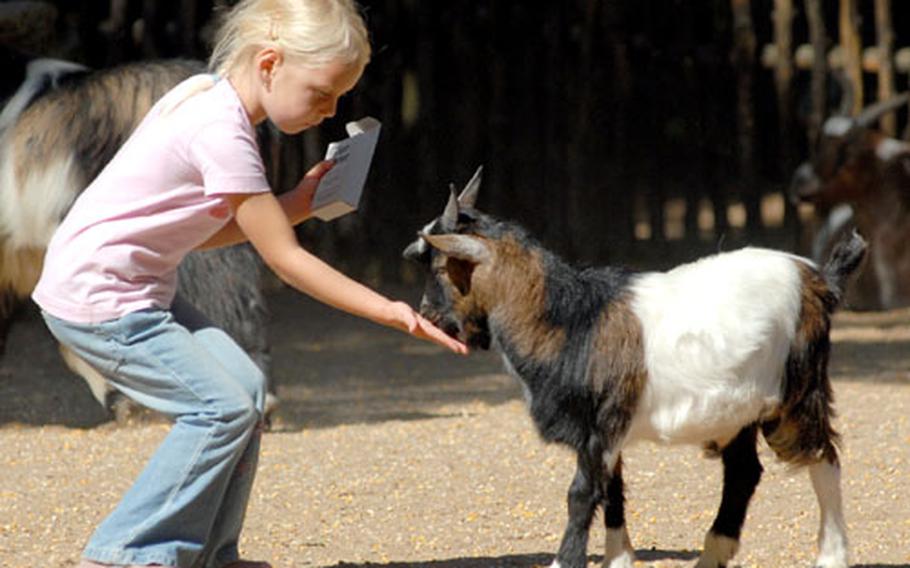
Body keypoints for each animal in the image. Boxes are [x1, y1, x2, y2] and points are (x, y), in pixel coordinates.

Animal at [404, 168, 864, 568]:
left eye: (440, 267)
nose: (427, 315)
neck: (570, 320)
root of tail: (819, 279)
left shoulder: (601, 423)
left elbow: (581, 494)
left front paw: (564, 561)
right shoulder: (606, 431)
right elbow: (613, 490)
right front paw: (619, 559)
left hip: (796, 391)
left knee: (824, 457)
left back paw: (830, 556)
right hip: (739, 410)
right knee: (743, 472)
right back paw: (712, 556)